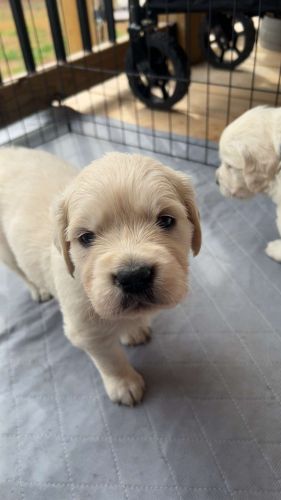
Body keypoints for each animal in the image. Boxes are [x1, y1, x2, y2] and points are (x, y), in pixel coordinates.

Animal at [0, 147, 201, 406]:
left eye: (166, 220)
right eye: (86, 237)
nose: (134, 276)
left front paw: (133, 330)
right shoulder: (86, 332)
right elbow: (111, 359)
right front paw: (124, 385)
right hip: (6, 250)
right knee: (20, 271)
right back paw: (38, 289)